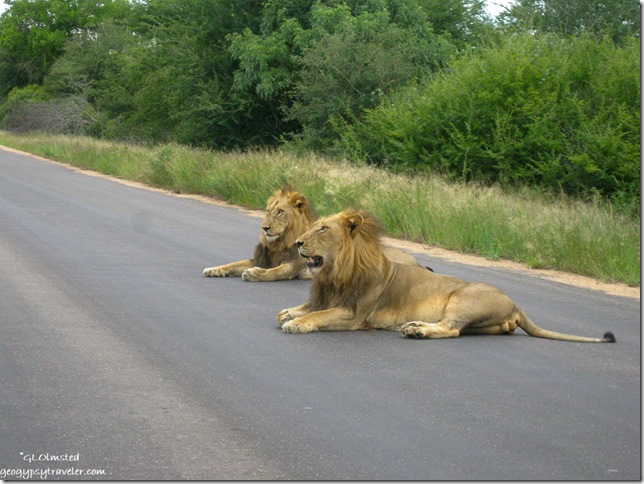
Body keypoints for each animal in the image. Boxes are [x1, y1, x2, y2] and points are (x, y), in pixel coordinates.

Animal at [278, 208, 620, 344]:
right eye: (314, 226)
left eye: (323, 229)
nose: (297, 243)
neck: (334, 272)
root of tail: (515, 304)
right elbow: (306, 308)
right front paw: (289, 312)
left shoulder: (355, 314)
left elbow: (320, 316)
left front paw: (298, 323)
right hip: (486, 325)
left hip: (463, 300)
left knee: (451, 329)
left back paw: (416, 330)